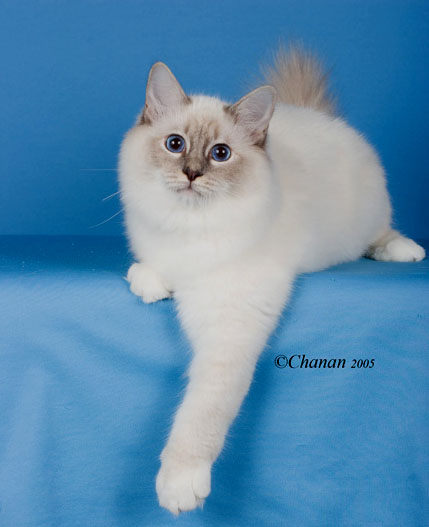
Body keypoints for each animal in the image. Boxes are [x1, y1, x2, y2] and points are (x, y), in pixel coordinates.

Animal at [118, 47, 424, 512]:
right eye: (175, 145)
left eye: (220, 154)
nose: (191, 173)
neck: (190, 229)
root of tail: (312, 113)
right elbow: (147, 266)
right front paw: (150, 285)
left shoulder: (230, 329)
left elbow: (201, 412)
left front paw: (179, 482)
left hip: (370, 218)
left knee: (381, 235)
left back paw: (407, 251)